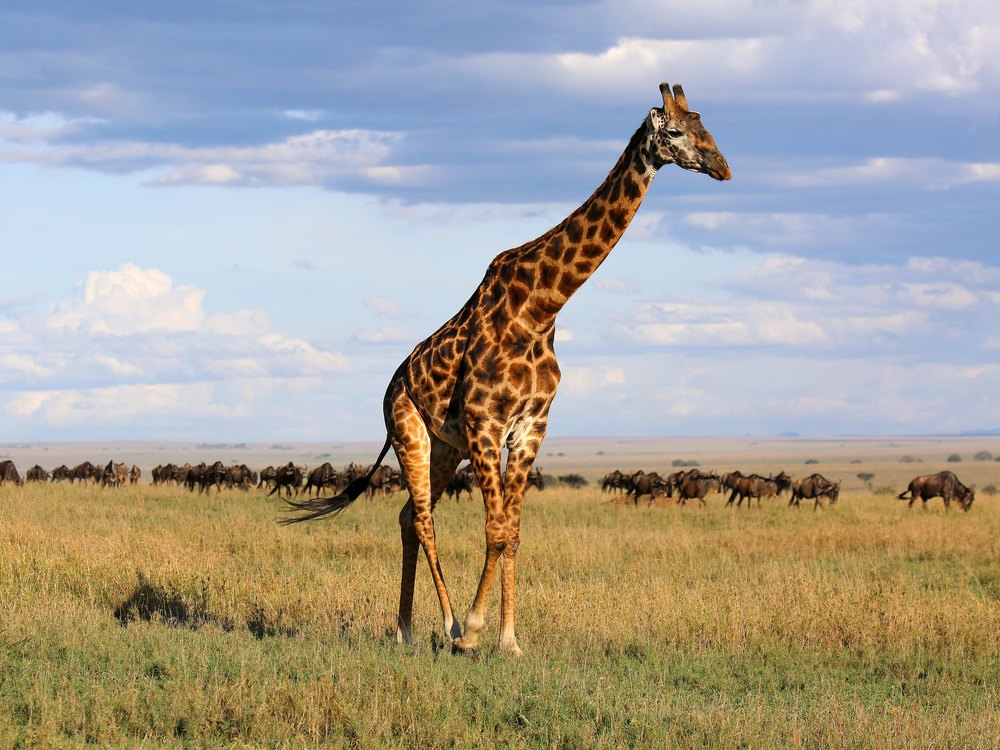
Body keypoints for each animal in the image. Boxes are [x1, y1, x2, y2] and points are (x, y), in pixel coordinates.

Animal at [283, 82, 730, 654]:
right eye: (674, 131)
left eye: (705, 124)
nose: (722, 167)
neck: (542, 309)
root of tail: (391, 384)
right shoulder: (485, 423)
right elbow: (495, 530)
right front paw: (475, 632)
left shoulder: (531, 426)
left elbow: (513, 533)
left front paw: (510, 641)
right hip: (410, 432)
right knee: (423, 519)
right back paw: (446, 626)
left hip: (444, 447)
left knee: (408, 516)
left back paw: (405, 630)